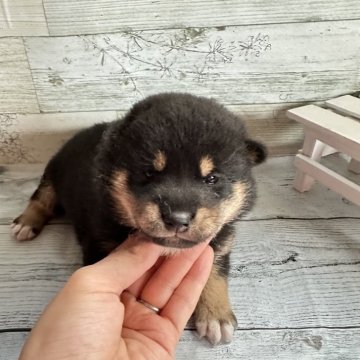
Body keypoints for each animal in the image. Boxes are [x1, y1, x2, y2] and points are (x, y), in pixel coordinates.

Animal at [11, 93, 264, 346]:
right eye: (149, 173)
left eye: (212, 178)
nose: (176, 218)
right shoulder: (99, 243)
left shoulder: (219, 241)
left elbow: (215, 272)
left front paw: (216, 317)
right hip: (54, 168)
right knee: (42, 196)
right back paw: (26, 223)